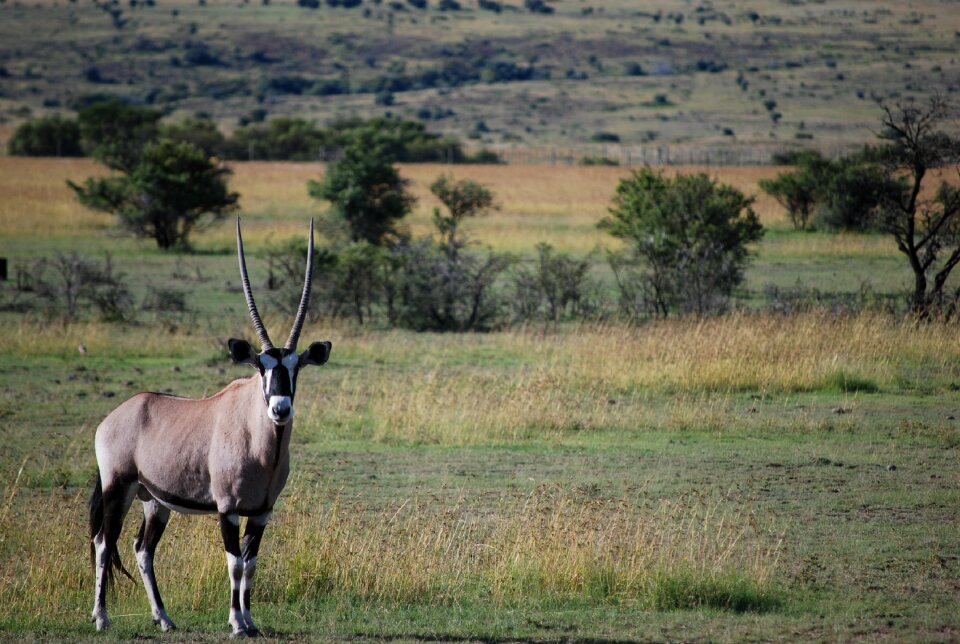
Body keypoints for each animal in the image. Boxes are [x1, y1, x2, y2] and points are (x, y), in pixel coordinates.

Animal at [90, 219, 330, 636]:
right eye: (261, 366)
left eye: (296, 367)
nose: (280, 409)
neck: (261, 446)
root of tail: (118, 415)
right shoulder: (227, 509)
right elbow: (234, 562)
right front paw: (236, 622)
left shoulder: (261, 512)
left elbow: (251, 564)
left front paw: (250, 621)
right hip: (118, 487)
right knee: (105, 542)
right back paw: (101, 617)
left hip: (154, 501)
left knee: (143, 549)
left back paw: (164, 618)